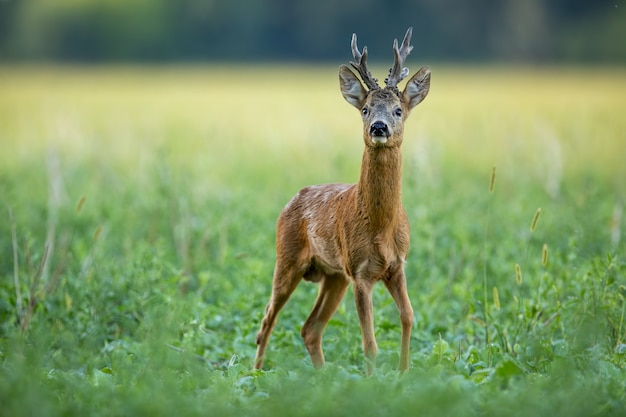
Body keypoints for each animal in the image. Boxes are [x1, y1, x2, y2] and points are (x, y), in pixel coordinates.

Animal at [254, 26, 428, 374]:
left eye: (398, 110)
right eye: (365, 109)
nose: (379, 127)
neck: (381, 227)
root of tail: (291, 200)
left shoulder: (396, 265)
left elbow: (408, 317)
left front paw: (403, 374)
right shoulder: (360, 271)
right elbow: (370, 343)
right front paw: (374, 380)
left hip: (333, 276)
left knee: (309, 328)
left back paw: (323, 377)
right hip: (287, 258)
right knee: (267, 319)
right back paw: (253, 374)